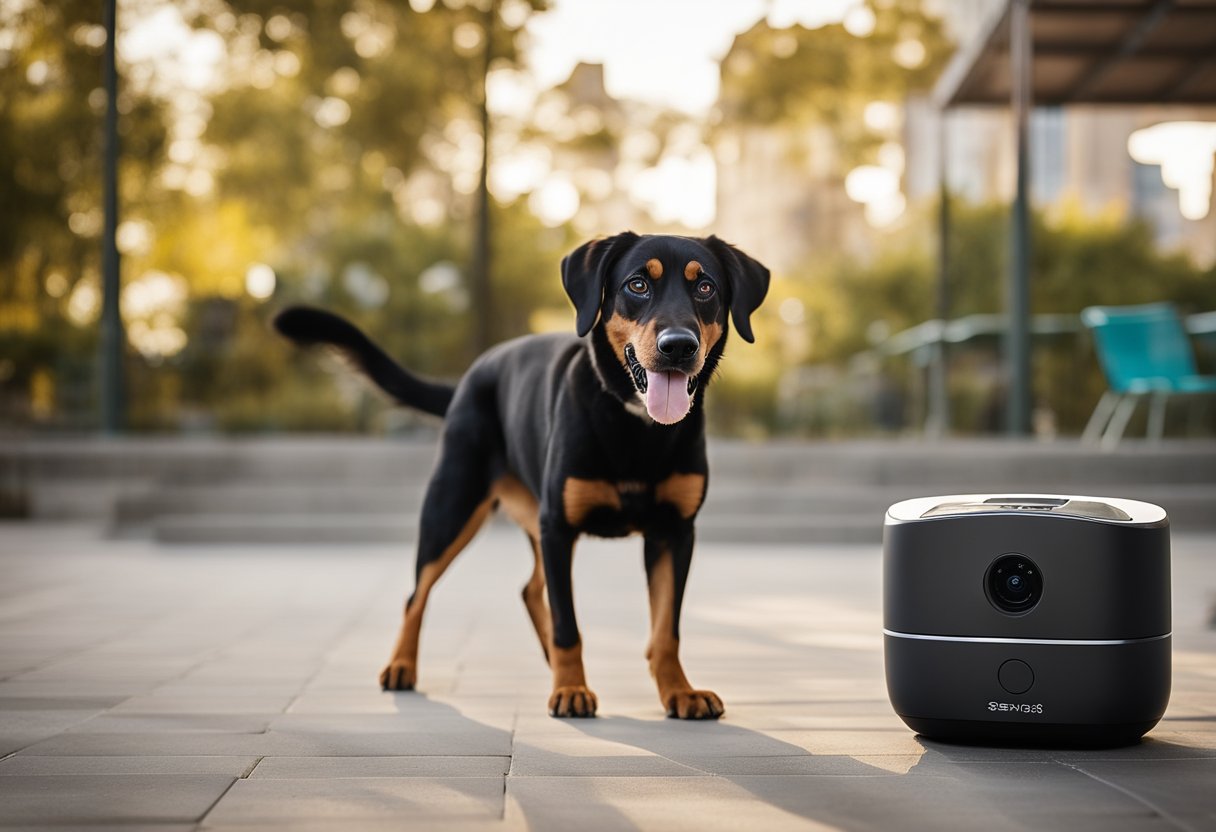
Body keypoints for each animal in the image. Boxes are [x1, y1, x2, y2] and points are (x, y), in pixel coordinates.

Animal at [276, 231, 768, 720]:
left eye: (705, 287)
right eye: (638, 285)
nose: (678, 346)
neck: (635, 424)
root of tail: (471, 375)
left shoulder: (674, 532)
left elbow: (666, 629)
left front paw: (679, 691)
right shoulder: (558, 528)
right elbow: (568, 624)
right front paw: (571, 689)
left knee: (530, 590)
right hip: (452, 507)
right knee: (417, 593)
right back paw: (401, 665)